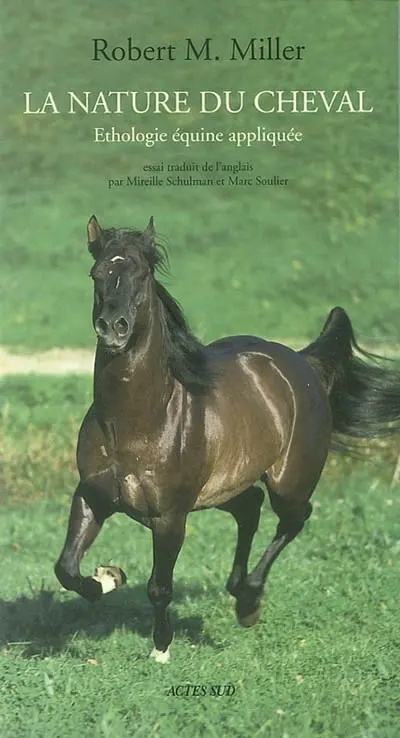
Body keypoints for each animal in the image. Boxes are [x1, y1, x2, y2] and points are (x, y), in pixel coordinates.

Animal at [55, 216, 400, 663]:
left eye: (142, 274)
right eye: (97, 274)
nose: (113, 328)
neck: (135, 420)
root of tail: (300, 362)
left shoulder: (170, 517)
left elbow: (159, 586)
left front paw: (161, 649)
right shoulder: (93, 496)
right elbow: (66, 568)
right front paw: (110, 577)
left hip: (289, 482)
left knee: (293, 517)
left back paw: (249, 602)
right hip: (223, 487)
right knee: (250, 506)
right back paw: (239, 592)